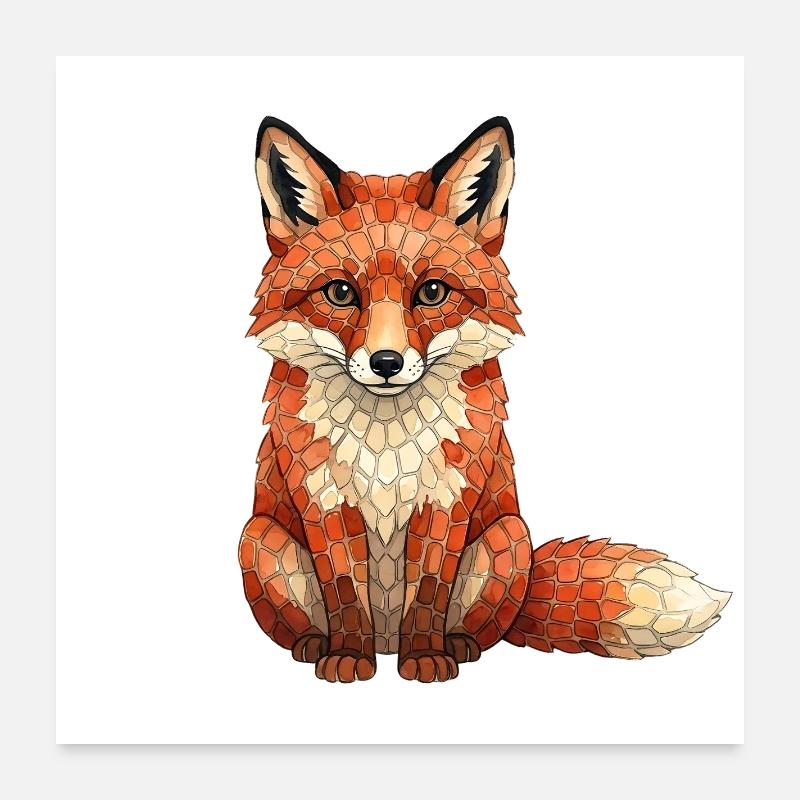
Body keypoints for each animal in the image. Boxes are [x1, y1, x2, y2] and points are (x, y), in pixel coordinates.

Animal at [239, 115, 730, 682]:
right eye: (340, 294)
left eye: (432, 292)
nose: (386, 363)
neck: (385, 442)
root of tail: (387, 642)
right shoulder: (324, 503)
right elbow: (345, 594)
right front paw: (347, 657)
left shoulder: (447, 501)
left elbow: (427, 594)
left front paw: (425, 658)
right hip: (258, 538)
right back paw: (317, 646)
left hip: (509, 539)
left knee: (483, 630)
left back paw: (455, 646)